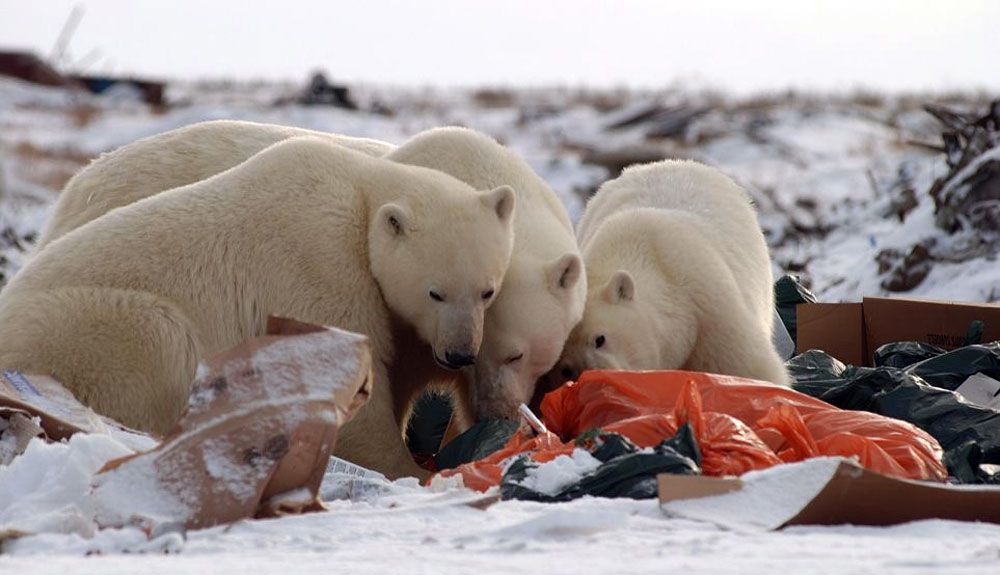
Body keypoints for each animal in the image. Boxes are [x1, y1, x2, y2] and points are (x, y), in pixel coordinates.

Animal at [0, 136, 516, 480]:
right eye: (435, 292)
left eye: (488, 291)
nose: (459, 353)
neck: (361, 190)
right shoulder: (319, 261)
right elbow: (340, 369)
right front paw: (411, 468)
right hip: (88, 325)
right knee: (160, 342)